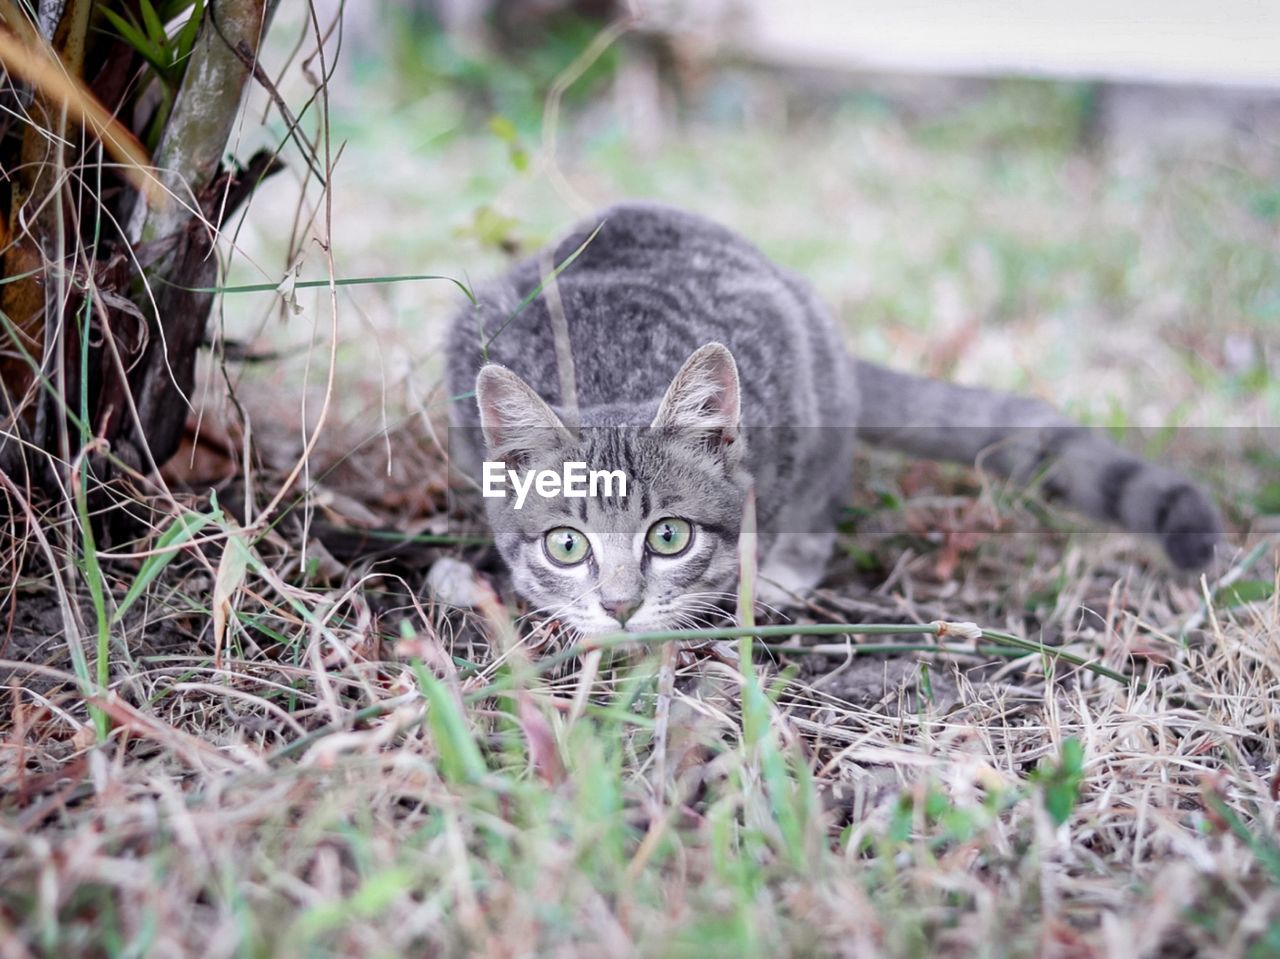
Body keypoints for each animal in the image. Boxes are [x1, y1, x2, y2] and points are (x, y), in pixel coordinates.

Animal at [445, 203, 1223, 635]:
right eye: (566, 545)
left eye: (668, 536)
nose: (618, 606)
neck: (613, 369)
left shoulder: (788, 365)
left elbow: (804, 506)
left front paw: (770, 574)